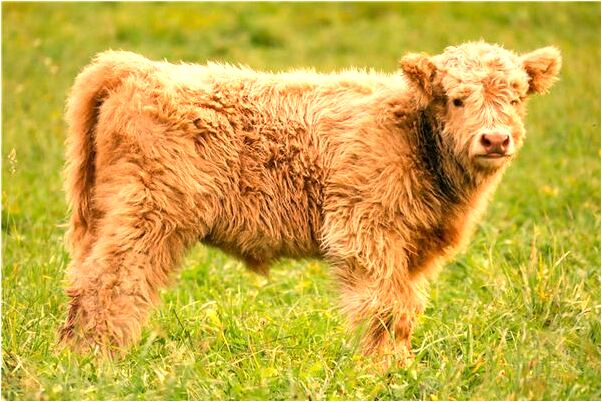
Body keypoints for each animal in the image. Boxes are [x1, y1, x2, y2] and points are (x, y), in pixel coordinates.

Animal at [58, 42, 560, 366]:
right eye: (456, 99)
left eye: (516, 97)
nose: (495, 139)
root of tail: (138, 68)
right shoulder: (363, 232)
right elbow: (383, 309)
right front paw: (383, 373)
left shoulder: (412, 251)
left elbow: (405, 308)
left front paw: (401, 367)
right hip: (145, 214)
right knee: (110, 283)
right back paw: (97, 363)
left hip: (105, 215)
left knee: (82, 278)